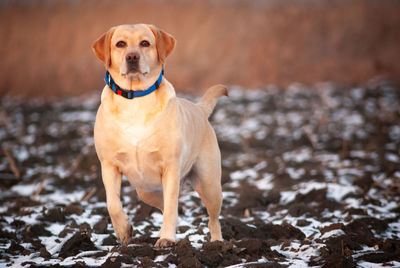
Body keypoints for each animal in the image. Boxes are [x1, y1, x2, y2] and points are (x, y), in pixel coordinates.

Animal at [92, 24, 227, 248]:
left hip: (209, 185)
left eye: (145, 43)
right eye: (120, 44)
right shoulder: (109, 165)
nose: (132, 57)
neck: (135, 99)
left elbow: (172, 208)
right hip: (146, 191)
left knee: (211, 218)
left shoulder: (170, 166)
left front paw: (167, 239)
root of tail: (199, 108)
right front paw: (124, 231)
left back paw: (217, 244)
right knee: (164, 206)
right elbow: (112, 203)